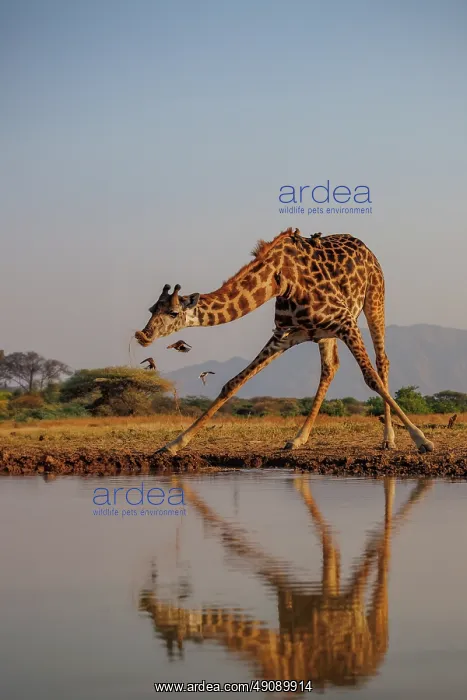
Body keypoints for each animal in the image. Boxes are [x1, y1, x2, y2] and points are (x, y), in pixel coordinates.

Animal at [135, 228, 435, 455]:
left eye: (173, 313)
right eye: (151, 309)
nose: (143, 335)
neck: (278, 281)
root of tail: (365, 246)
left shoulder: (345, 321)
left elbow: (371, 378)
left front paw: (421, 439)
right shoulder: (283, 336)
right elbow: (232, 383)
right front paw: (173, 444)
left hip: (374, 298)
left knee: (381, 362)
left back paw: (388, 439)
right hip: (325, 334)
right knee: (330, 368)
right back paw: (298, 438)